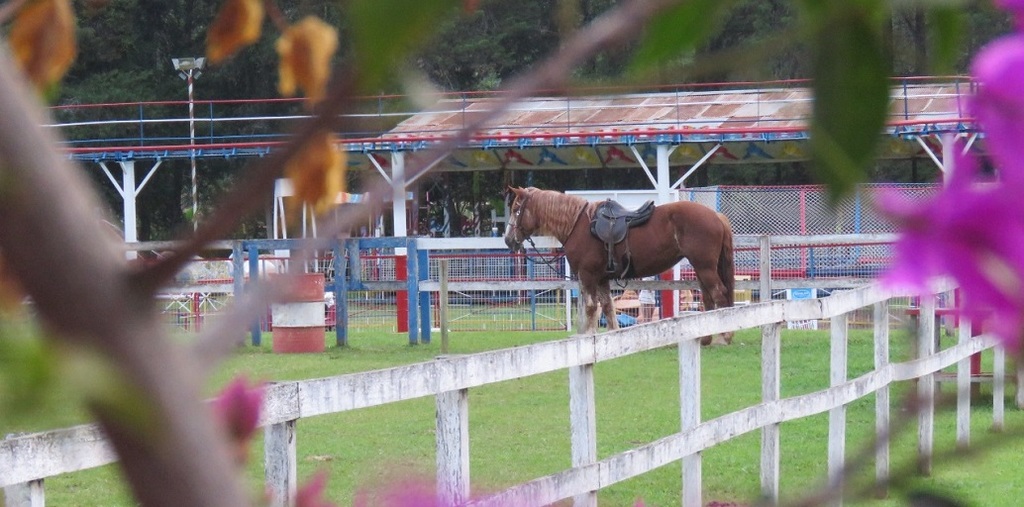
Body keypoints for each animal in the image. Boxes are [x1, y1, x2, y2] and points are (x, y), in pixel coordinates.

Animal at [499, 186, 733, 346]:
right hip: (701, 269)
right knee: (707, 297)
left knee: (718, 293)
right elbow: (608, 308)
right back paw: (706, 337)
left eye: (517, 209)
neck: (577, 225)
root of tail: (716, 216)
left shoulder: (588, 276)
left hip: (705, 267)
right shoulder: (602, 278)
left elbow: (591, 307)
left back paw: (725, 335)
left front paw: (589, 335)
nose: (508, 240)